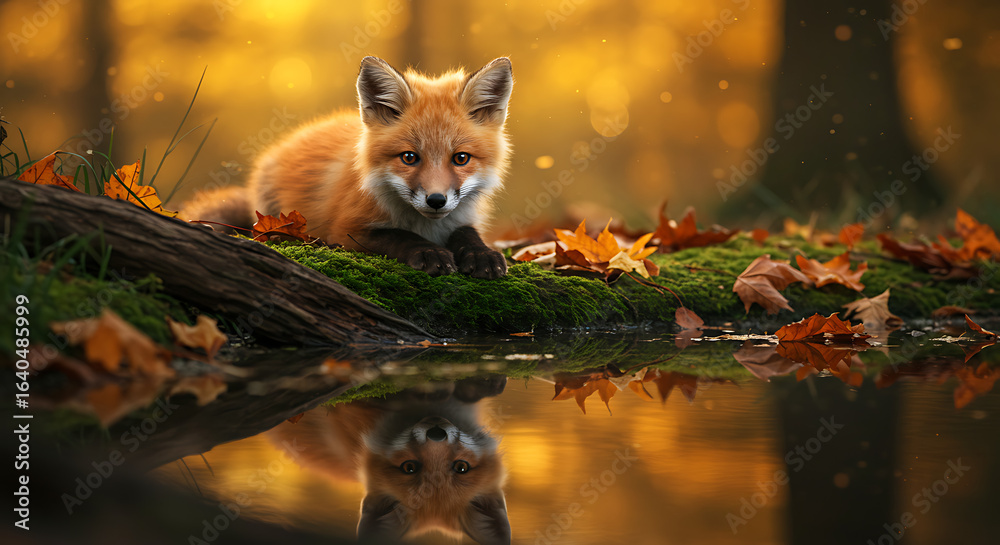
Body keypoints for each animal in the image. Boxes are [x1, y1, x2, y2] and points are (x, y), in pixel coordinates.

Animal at [183, 56, 513, 279]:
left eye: (461, 158)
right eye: (409, 157)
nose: (436, 200)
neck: (427, 226)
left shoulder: (462, 218)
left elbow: (468, 233)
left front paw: (482, 254)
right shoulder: (345, 231)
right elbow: (398, 237)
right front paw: (429, 251)